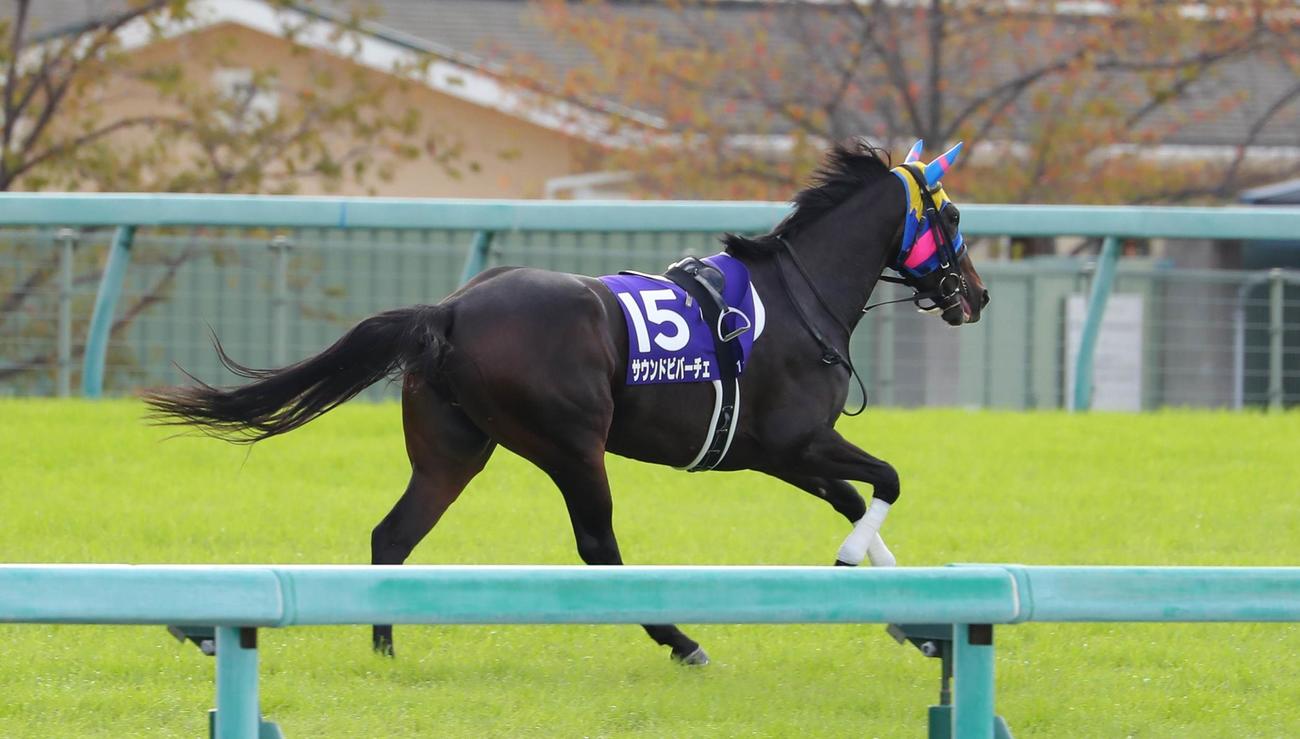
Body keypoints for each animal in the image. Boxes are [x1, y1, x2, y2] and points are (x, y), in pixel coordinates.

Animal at [143, 138, 988, 666]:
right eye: (951, 217)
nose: (974, 295)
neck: (794, 297)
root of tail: (449, 309)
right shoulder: (794, 440)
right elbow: (887, 481)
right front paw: (859, 564)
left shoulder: (772, 453)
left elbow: (855, 496)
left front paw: (903, 597)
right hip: (573, 445)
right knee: (598, 547)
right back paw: (681, 639)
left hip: (452, 454)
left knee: (393, 535)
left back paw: (384, 644)